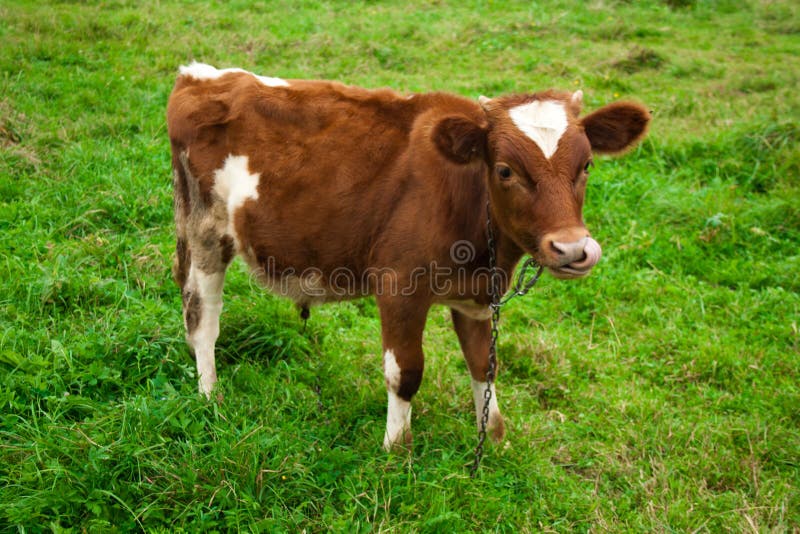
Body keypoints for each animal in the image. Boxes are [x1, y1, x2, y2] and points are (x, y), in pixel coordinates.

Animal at [167, 62, 650, 450]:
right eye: (505, 170)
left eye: (586, 165)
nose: (572, 248)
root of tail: (200, 75)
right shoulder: (399, 288)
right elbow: (406, 372)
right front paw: (396, 450)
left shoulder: (478, 297)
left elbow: (485, 364)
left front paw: (493, 439)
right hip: (206, 232)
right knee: (202, 318)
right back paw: (210, 395)